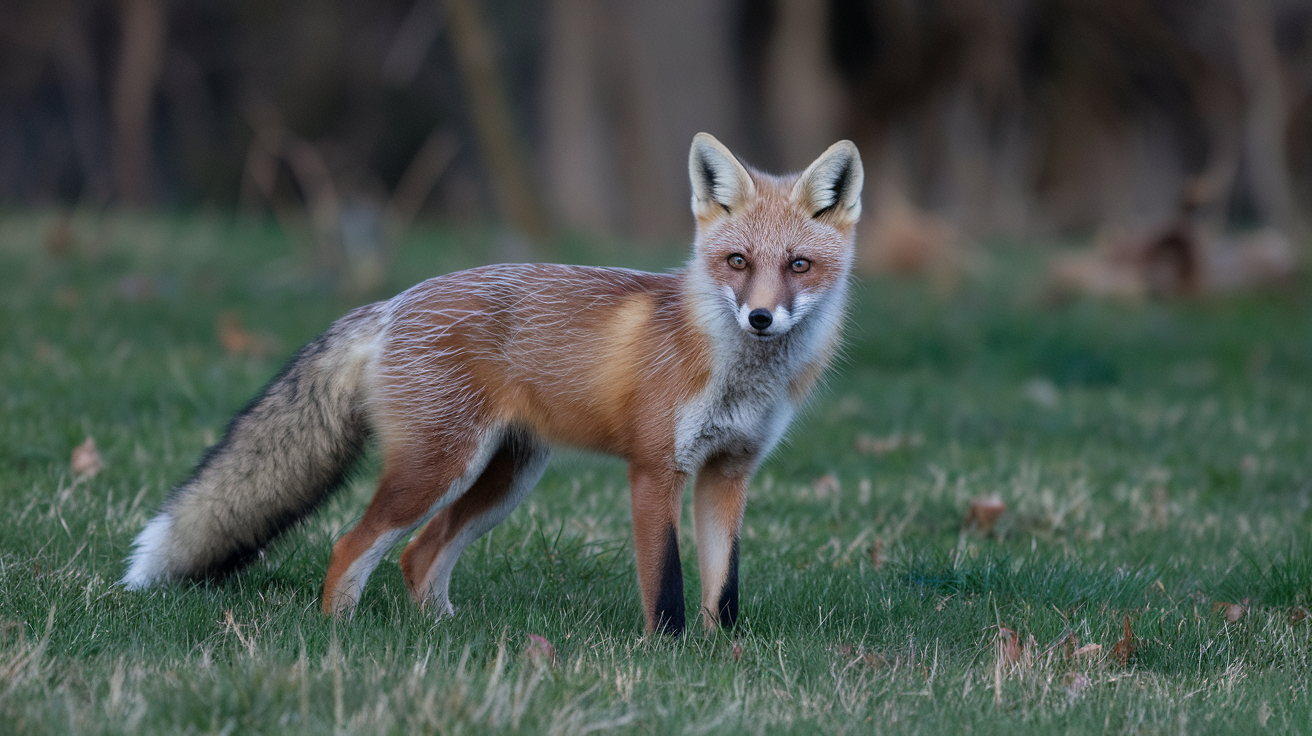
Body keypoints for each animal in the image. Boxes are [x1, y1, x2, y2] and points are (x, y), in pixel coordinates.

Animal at [122, 133, 863, 634]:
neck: (735, 375)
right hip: (439, 467)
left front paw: (722, 654)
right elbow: (667, 584)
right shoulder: (657, 470)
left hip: (505, 478)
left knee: (418, 554)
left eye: (798, 265)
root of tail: (392, 303)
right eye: (737, 261)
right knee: (352, 544)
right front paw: (669, 653)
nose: (760, 318)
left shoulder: (729, 471)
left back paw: (440, 632)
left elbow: (723, 588)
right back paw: (340, 634)